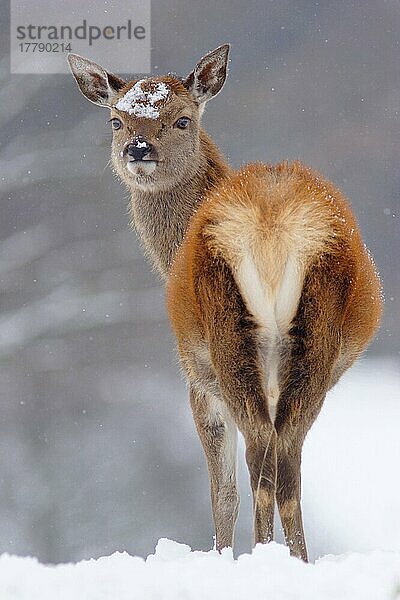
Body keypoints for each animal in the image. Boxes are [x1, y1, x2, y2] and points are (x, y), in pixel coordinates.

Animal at [68, 44, 382, 560]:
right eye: (116, 120)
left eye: (182, 119)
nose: (139, 149)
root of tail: (272, 224)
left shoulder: (198, 381)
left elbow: (222, 493)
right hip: (312, 343)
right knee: (287, 465)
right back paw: (296, 559)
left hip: (226, 336)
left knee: (262, 466)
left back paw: (263, 556)